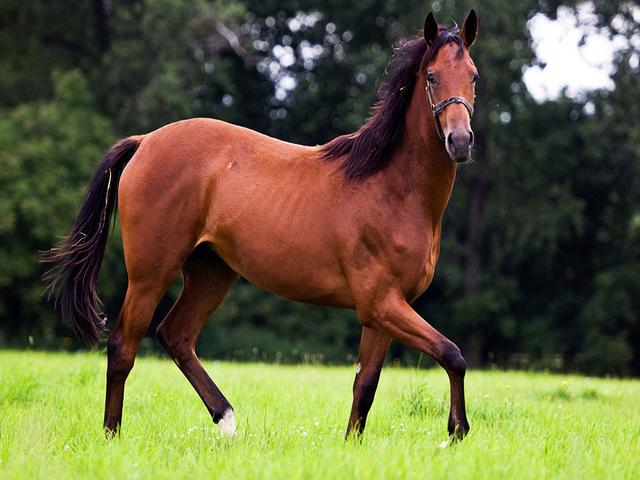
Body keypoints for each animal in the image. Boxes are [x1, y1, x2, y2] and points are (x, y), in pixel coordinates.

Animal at [44, 10, 479, 441]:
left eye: (473, 76)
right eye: (431, 77)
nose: (459, 141)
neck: (391, 187)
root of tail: (145, 140)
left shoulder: (383, 310)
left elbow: (366, 384)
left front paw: (352, 445)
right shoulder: (381, 303)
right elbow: (452, 354)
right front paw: (456, 431)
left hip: (212, 272)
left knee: (176, 335)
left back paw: (226, 419)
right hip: (151, 274)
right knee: (123, 346)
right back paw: (112, 436)